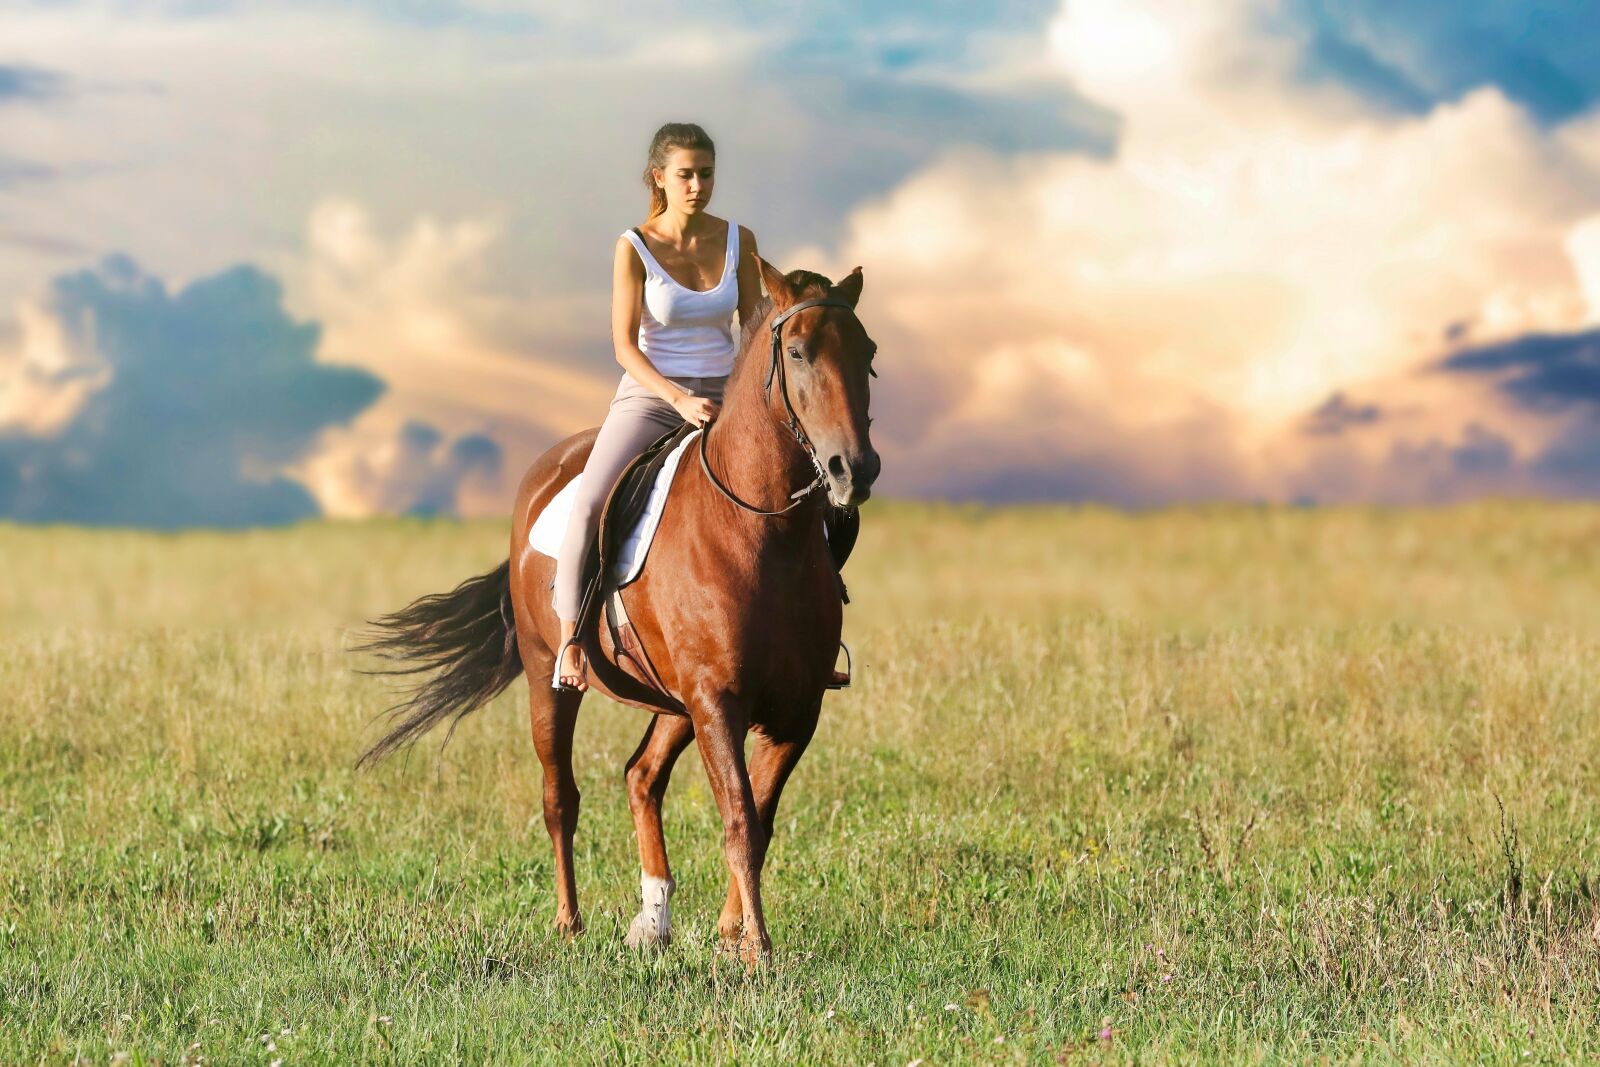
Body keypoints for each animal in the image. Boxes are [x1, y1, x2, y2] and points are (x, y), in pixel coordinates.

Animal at [352, 259, 883, 966]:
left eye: (868, 354)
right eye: (797, 352)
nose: (854, 469)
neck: (762, 532)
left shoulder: (794, 710)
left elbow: (760, 821)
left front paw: (731, 936)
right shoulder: (718, 701)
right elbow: (740, 818)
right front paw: (758, 950)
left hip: (673, 702)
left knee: (641, 777)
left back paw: (653, 921)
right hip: (552, 678)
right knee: (560, 798)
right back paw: (569, 923)